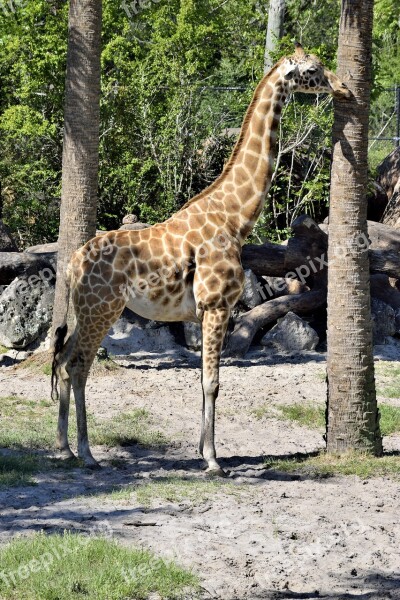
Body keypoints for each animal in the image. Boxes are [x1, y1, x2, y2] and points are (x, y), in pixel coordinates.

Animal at [52, 43, 350, 474]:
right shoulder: (216, 306)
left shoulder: (206, 313)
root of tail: (73, 265)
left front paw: (200, 449)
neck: (235, 218)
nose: (344, 88)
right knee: (78, 365)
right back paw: (87, 453)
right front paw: (213, 459)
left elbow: (202, 381)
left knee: (62, 360)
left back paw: (63, 447)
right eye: (313, 70)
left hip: (84, 310)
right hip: (102, 310)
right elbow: (213, 382)